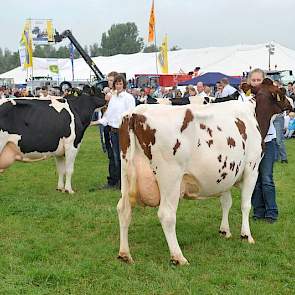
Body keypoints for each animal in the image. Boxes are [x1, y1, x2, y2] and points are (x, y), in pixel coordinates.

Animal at [117, 81, 292, 266]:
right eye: (282, 91)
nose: (291, 103)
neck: (253, 114)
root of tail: (137, 113)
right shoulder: (252, 168)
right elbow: (245, 205)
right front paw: (246, 235)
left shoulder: (226, 174)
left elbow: (226, 202)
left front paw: (224, 231)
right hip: (170, 178)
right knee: (167, 214)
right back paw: (178, 257)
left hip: (126, 173)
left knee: (123, 209)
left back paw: (125, 254)